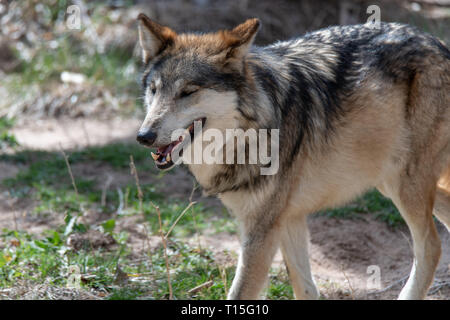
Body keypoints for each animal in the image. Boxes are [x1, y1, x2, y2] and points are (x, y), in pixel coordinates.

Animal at [135, 13, 450, 300]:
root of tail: (438, 43)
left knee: (432, 247)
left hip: (404, 185)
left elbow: (240, 293)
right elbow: (306, 289)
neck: (249, 131)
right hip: (393, 183)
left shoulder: (261, 230)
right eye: (154, 90)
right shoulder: (287, 218)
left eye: (188, 92)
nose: (144, 136)